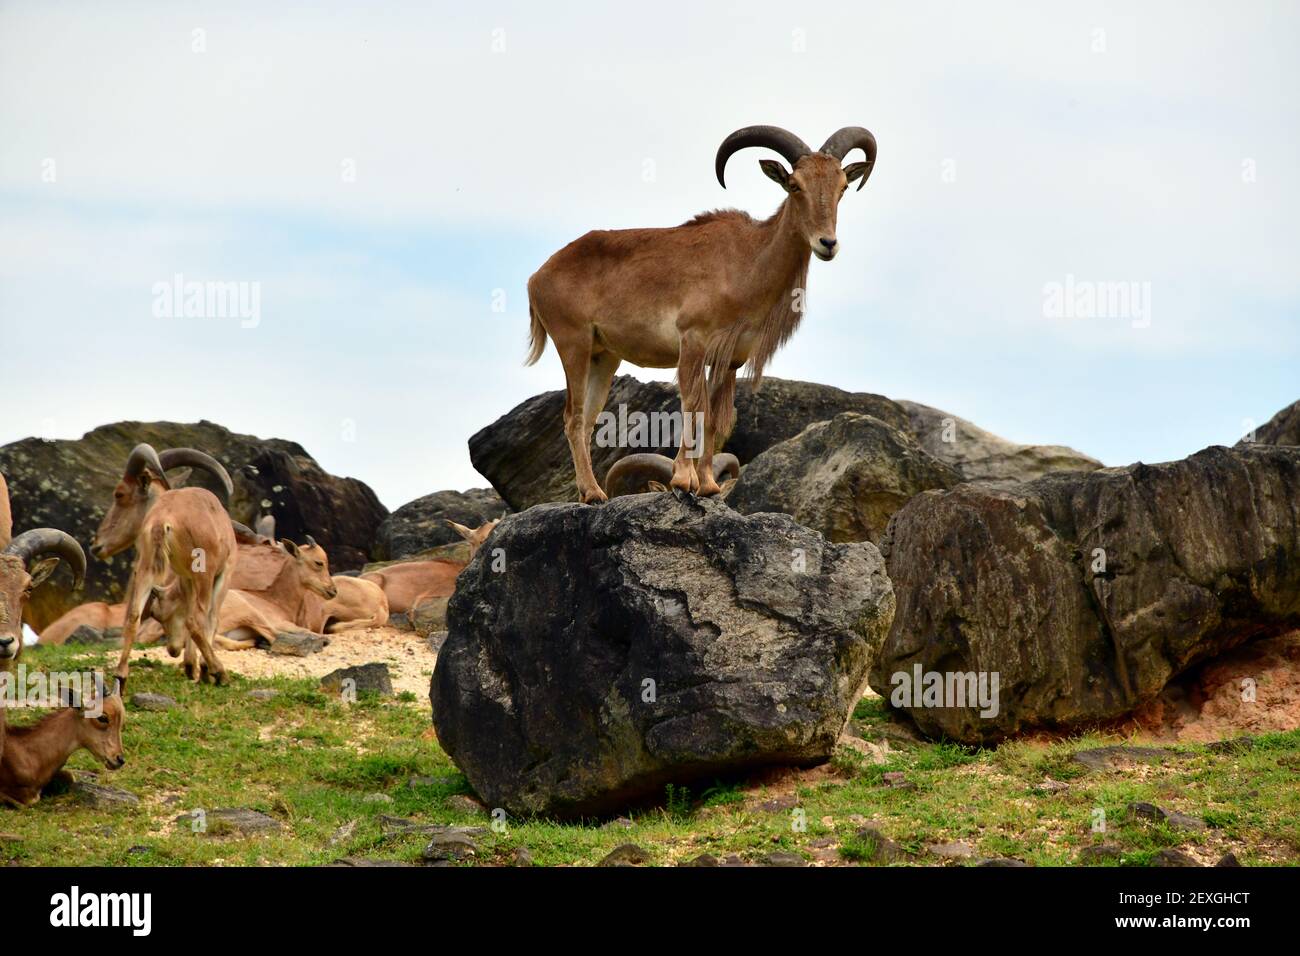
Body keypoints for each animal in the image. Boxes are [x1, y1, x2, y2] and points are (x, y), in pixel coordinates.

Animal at [90, 444, 238, 689]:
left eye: (119, 494)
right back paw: (220, 672)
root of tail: (163, 519)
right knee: (196, 620)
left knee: (133, 615)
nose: (96, 545)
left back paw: (121, 675)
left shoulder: (185, 578)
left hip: (147, 566)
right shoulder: (223, 573)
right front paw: (205, 671)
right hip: (203, 573)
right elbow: (212, 618)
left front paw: (191, 667)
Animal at [526, 125, 876, 503]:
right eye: (795, 185)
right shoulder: (692, 341)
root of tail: (537, 276)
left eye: (842, 187)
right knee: (573, 417)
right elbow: (693, 406)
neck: (747, 261)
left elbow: (714, 417)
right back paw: (593, 494)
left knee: (589, 418)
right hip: (572, 343)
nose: (827, 243)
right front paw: (683, 480)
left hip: (603, 356)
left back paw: (588, 492)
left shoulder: (730, 358)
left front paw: (708, 485)